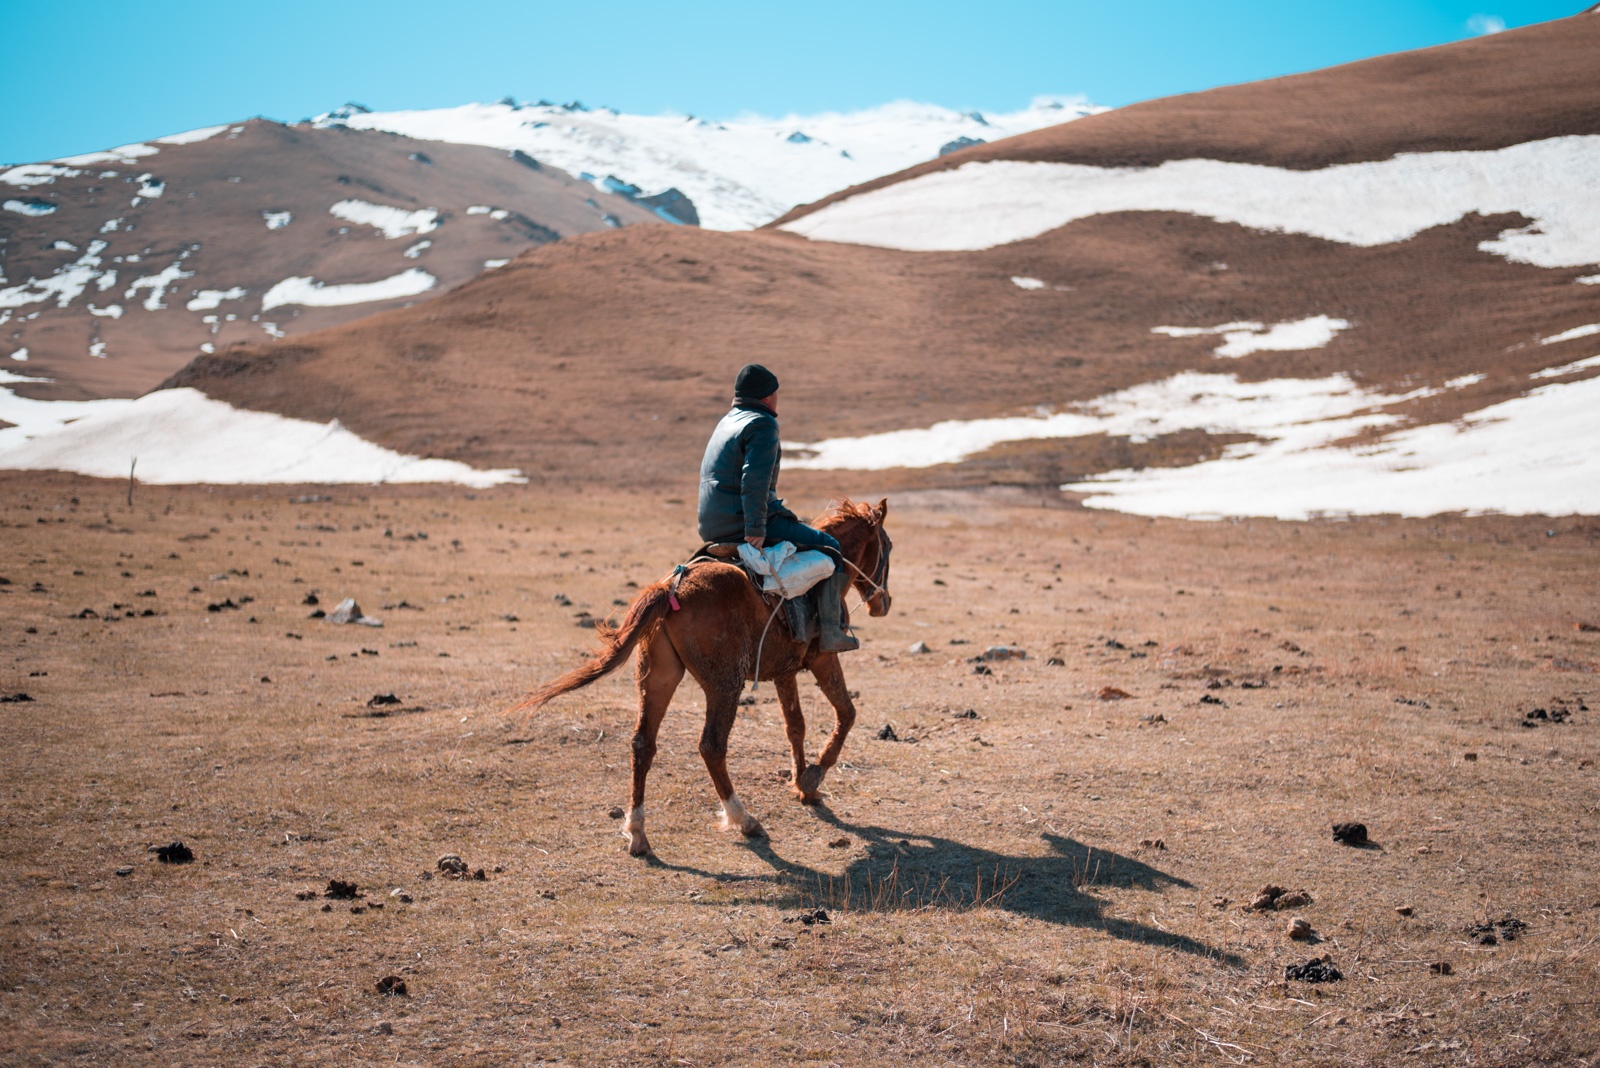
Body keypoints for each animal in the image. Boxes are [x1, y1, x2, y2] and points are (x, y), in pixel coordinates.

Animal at [505, 495, 896, 856]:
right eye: (888, 547)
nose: (884, 604)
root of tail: (672, 589)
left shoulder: (784, 672)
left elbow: (794, 726)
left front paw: (803, 786)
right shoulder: (824, 660)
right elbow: (846, 713)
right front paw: (814, 776)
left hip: (658, 679)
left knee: (642, 744)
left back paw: (637, 832)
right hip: (725, 687)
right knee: (711, 747)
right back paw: (743, 819)